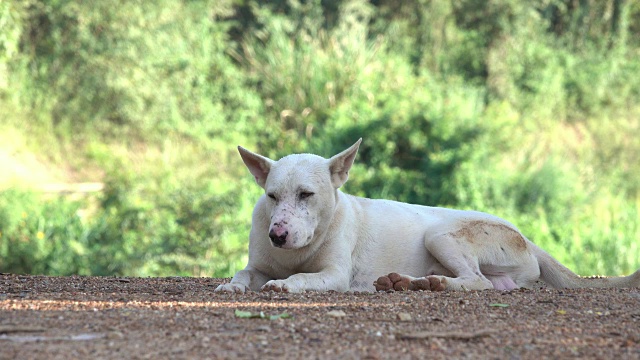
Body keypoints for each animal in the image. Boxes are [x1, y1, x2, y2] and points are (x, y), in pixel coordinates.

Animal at [216, 138, 640, 292]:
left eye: (306, 195)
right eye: (272, 196)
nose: (277, 235)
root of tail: (523, 235)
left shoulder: (334, 274)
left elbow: (305, 278)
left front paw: (285, 285)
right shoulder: (258, 264)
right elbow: (243, 273)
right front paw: (234, 287)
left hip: (440, 234)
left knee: (477, 282)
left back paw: (426, 284)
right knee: (492, 285)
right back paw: (409, 282)